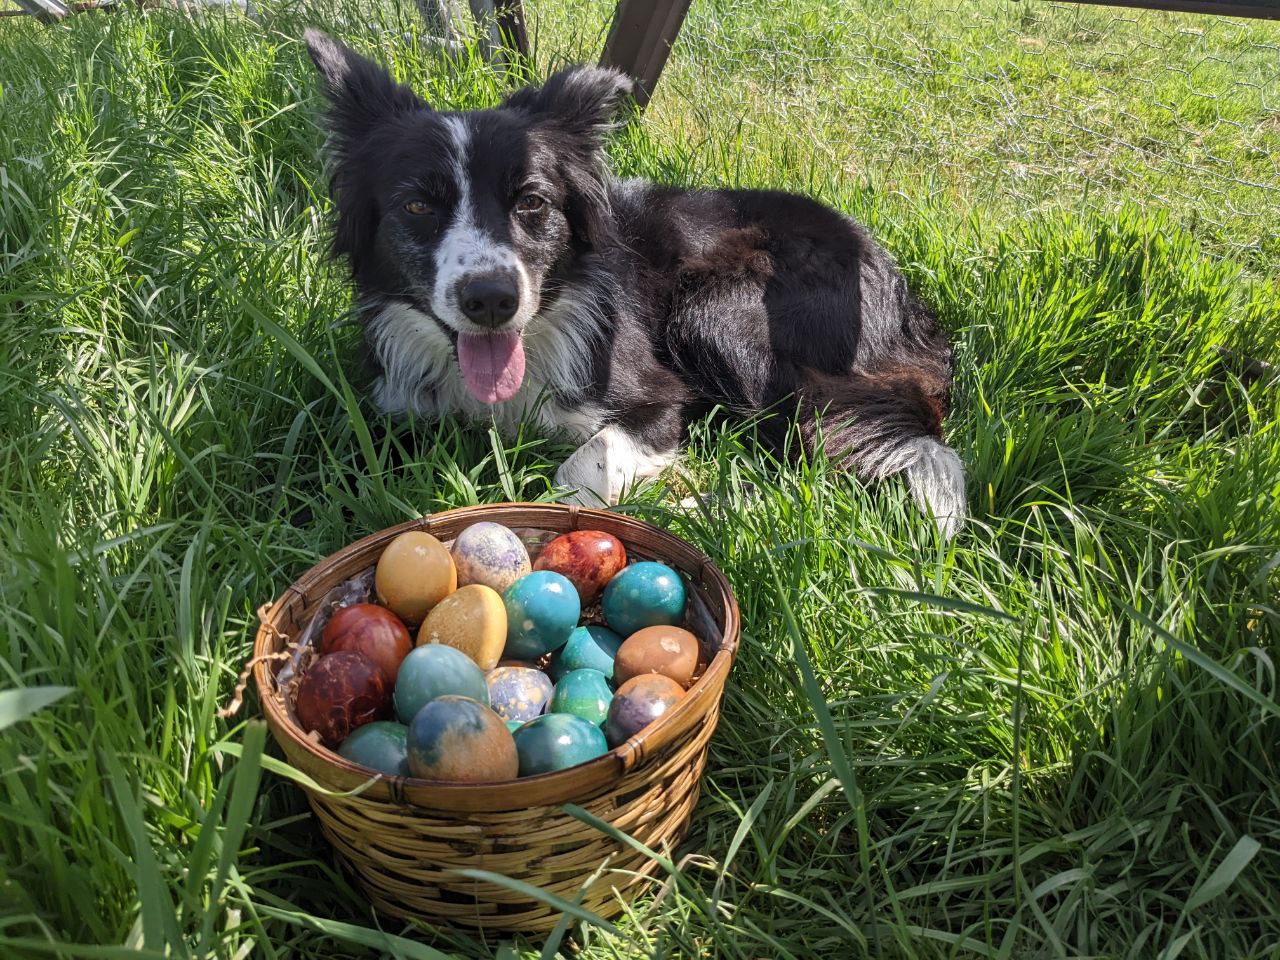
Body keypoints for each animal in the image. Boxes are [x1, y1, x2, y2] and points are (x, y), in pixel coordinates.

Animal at [304, 30, 962, 537]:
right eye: (417, 206)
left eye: (532, 201)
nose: (491, 300)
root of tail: (903, 297)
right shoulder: (395, 407)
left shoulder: (658, 397)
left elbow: (586, 459)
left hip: (718, 310)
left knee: (805, 464)